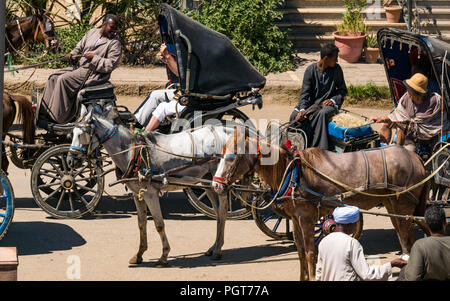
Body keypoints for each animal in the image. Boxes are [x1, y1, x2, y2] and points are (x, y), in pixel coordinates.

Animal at [69, 108, 239, 264]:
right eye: (72, 133)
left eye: (81, 134)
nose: (70, 160)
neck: (133, 152)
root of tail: (225, 132)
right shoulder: (137, 194)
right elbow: (141, 223)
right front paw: (139, 254)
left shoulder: (150, 194)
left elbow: (159, 224)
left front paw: (164, 255)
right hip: (208, 181)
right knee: (218, 214)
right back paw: (214, 247)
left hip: (220, 180)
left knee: (223, 211)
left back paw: (218, 250)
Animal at [213, 127, 430, 280]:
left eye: (230, 157)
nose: (216, 185)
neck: (292, 173)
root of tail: (415, 158)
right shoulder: (296, 219)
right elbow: (300, 251)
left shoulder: (307, 219)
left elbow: (310, 253)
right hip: (393, 207)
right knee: (406, 241)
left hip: (403, 208)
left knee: (409, 244)